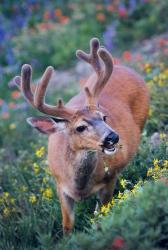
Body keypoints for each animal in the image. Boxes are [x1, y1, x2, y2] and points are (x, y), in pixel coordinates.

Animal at [13, 38, 149, 233]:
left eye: (104, 117)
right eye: (80, 127)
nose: (113, 137)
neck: (80, 188)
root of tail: (125, 68)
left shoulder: (110, 178)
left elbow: (102, 213)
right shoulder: (60, 186)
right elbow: (67, 225)